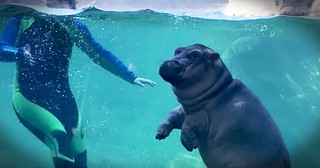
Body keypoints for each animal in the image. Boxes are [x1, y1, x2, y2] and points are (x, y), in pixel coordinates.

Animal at [155, 44, 290, 167]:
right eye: (177, 50)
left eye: (195, 55)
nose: (167, 63)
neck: (218, 89)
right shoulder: (185, 110)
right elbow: (172, 114)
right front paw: (160, 134)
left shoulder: (202, 116)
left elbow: (188, 123)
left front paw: (190, 144)